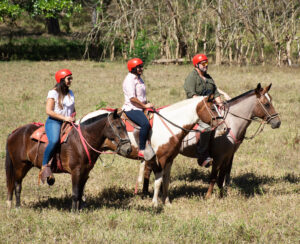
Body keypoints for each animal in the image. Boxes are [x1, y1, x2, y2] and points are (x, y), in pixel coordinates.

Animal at [142, 83, 280, 199]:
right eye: (266, 104)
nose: (277, 122)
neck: (230, 123)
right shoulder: (218, 157)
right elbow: (214, 177)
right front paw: (208, 196)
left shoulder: (228, 156)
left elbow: (222, 176)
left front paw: (222, 195)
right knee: (148, 169)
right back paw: (146, 193)